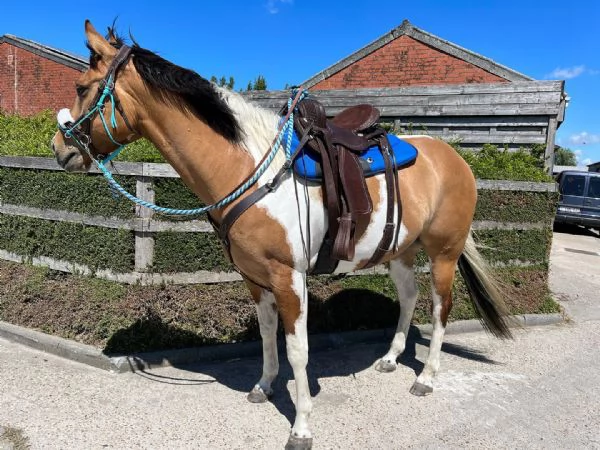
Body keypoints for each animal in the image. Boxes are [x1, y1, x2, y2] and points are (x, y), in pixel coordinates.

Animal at [50, 21, 510, 450]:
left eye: (82, 87)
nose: (60, 149)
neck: (252, 171)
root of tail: (453, 158)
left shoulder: (290, 278)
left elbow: (298, 350)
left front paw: (302, 426)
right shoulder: (255, 278)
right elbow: (267, 333)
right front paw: (264, 386)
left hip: (443, 253)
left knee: (440, 308)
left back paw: (426, 378)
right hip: (398, 251)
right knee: (410, 298)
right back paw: (391, 359)